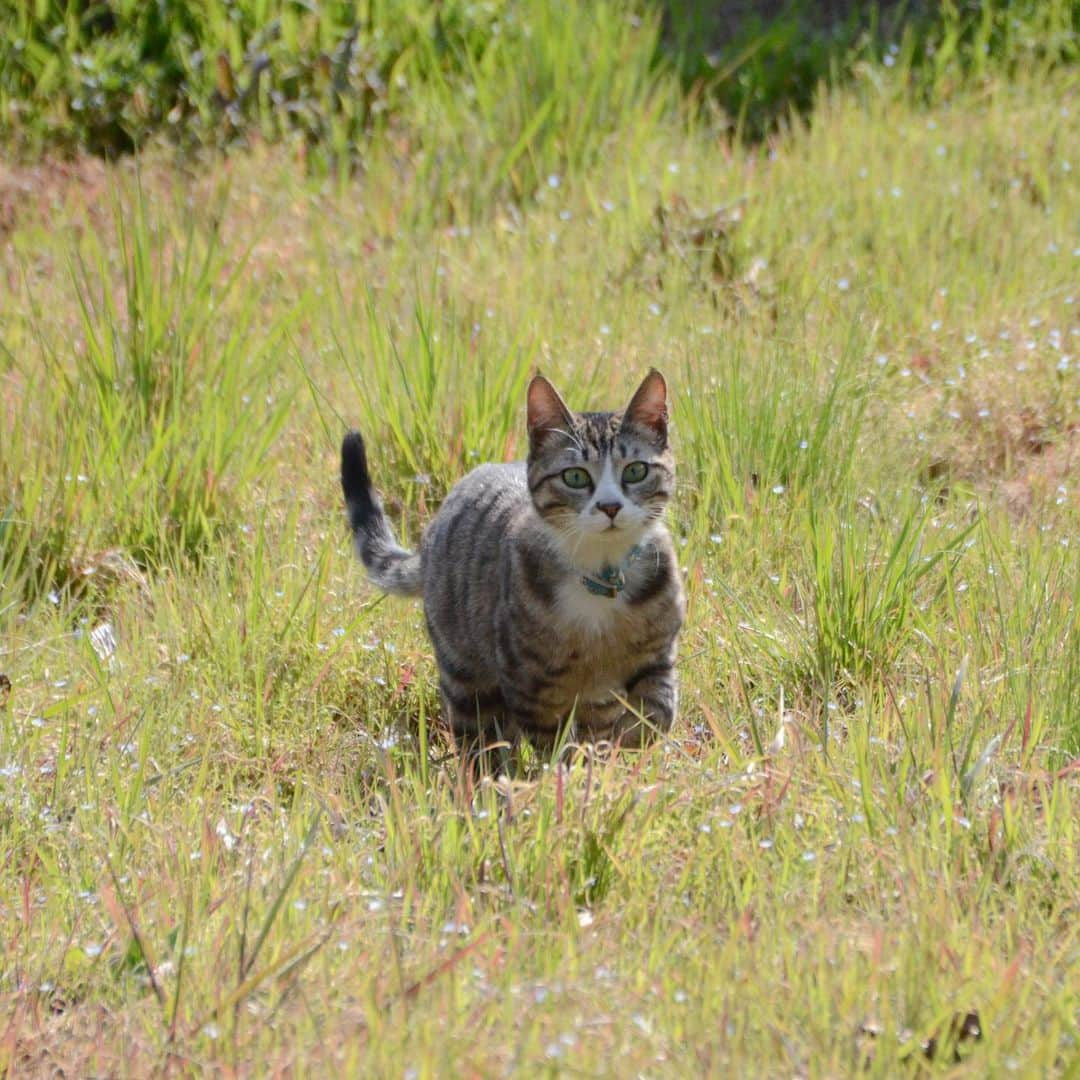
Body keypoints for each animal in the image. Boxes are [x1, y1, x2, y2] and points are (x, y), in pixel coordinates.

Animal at [341, 371, 686, 751]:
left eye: (636, 471)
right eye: (575, 476)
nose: (610, 506)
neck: (600, 574)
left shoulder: (656, 654)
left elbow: (657, 711)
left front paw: (625, 742)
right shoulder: (531, 685)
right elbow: (554, 742)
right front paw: (569, 763)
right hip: (464, 673)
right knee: (480, 733)